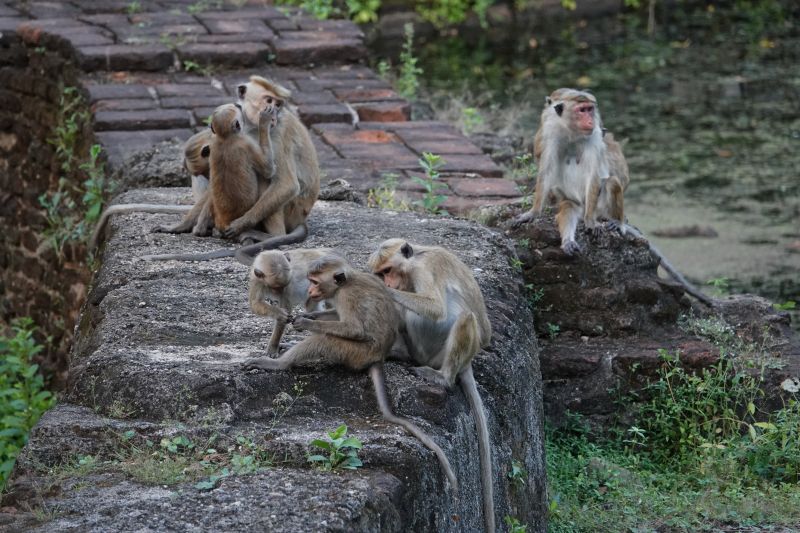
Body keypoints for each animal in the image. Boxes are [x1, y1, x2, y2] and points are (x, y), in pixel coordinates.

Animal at [242, 254, 456, 490]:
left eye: (315, 281)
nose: (311, 290)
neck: (345, 283)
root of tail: (377, 357)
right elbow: (334, 314)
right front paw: (309, 315)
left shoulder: (346, 297)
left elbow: (354, 329)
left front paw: (305, 321)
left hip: (355, 353)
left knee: (325, 340)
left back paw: (280, 363)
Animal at [368, 239, 494, 532]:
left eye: (387, 271)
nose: (387, 282)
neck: (415, 258)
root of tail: (467, 361)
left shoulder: (424, 269)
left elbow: (435, 308)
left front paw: (381, 291)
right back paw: (399, 352)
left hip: (437, 354)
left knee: (463, 318)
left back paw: (443, 377)